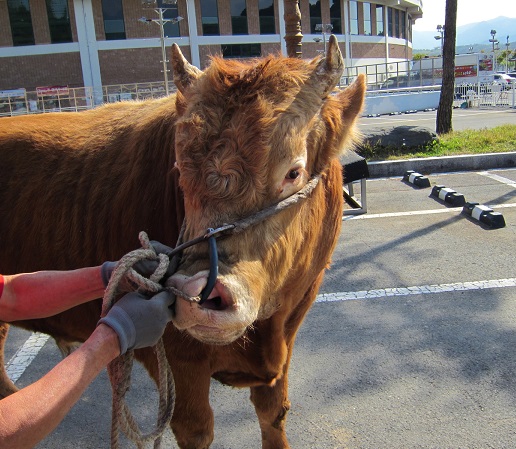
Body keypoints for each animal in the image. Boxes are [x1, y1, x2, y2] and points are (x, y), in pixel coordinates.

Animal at [0, 36, 364, 448]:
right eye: (179, 171)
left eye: (293, 172)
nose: (198, 291)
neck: (268, 331)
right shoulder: (180, 366)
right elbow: (196, 429)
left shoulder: (285, 343)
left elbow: (274, 414)